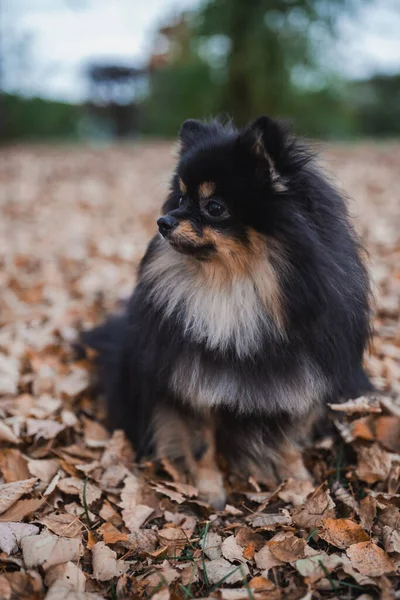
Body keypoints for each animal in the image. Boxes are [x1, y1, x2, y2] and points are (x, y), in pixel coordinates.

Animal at [83, 116, 374, 506]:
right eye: (181, 197)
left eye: (214, 207)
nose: (163, 221)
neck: (234, 288)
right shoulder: (193, 382)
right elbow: (201, 445)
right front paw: (209, 492)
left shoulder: (297, 380)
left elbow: (288, 440)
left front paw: (298, 483)